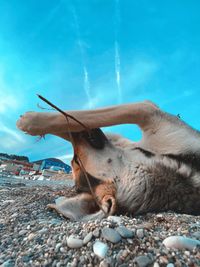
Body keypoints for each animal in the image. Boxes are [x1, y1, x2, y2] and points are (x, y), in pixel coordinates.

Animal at [16, 101, 200, 222]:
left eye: (76, 161)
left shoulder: (150, 115)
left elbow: (85, 119)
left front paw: (32, 120)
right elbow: (79, 123)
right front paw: (36, 122)